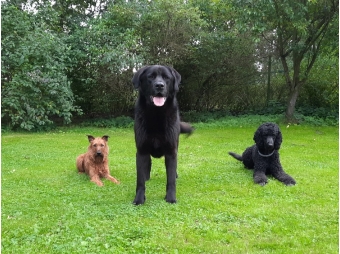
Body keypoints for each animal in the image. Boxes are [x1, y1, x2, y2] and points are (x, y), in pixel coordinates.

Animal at [131, 65, 193, 204]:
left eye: (166, 78)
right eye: (150, 77)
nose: (159, 85)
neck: (156, 114)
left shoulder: (171, 151)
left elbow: (170, 179)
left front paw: (171, 198)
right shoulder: (141, 151)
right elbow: (140, 180)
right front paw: (139, 199)